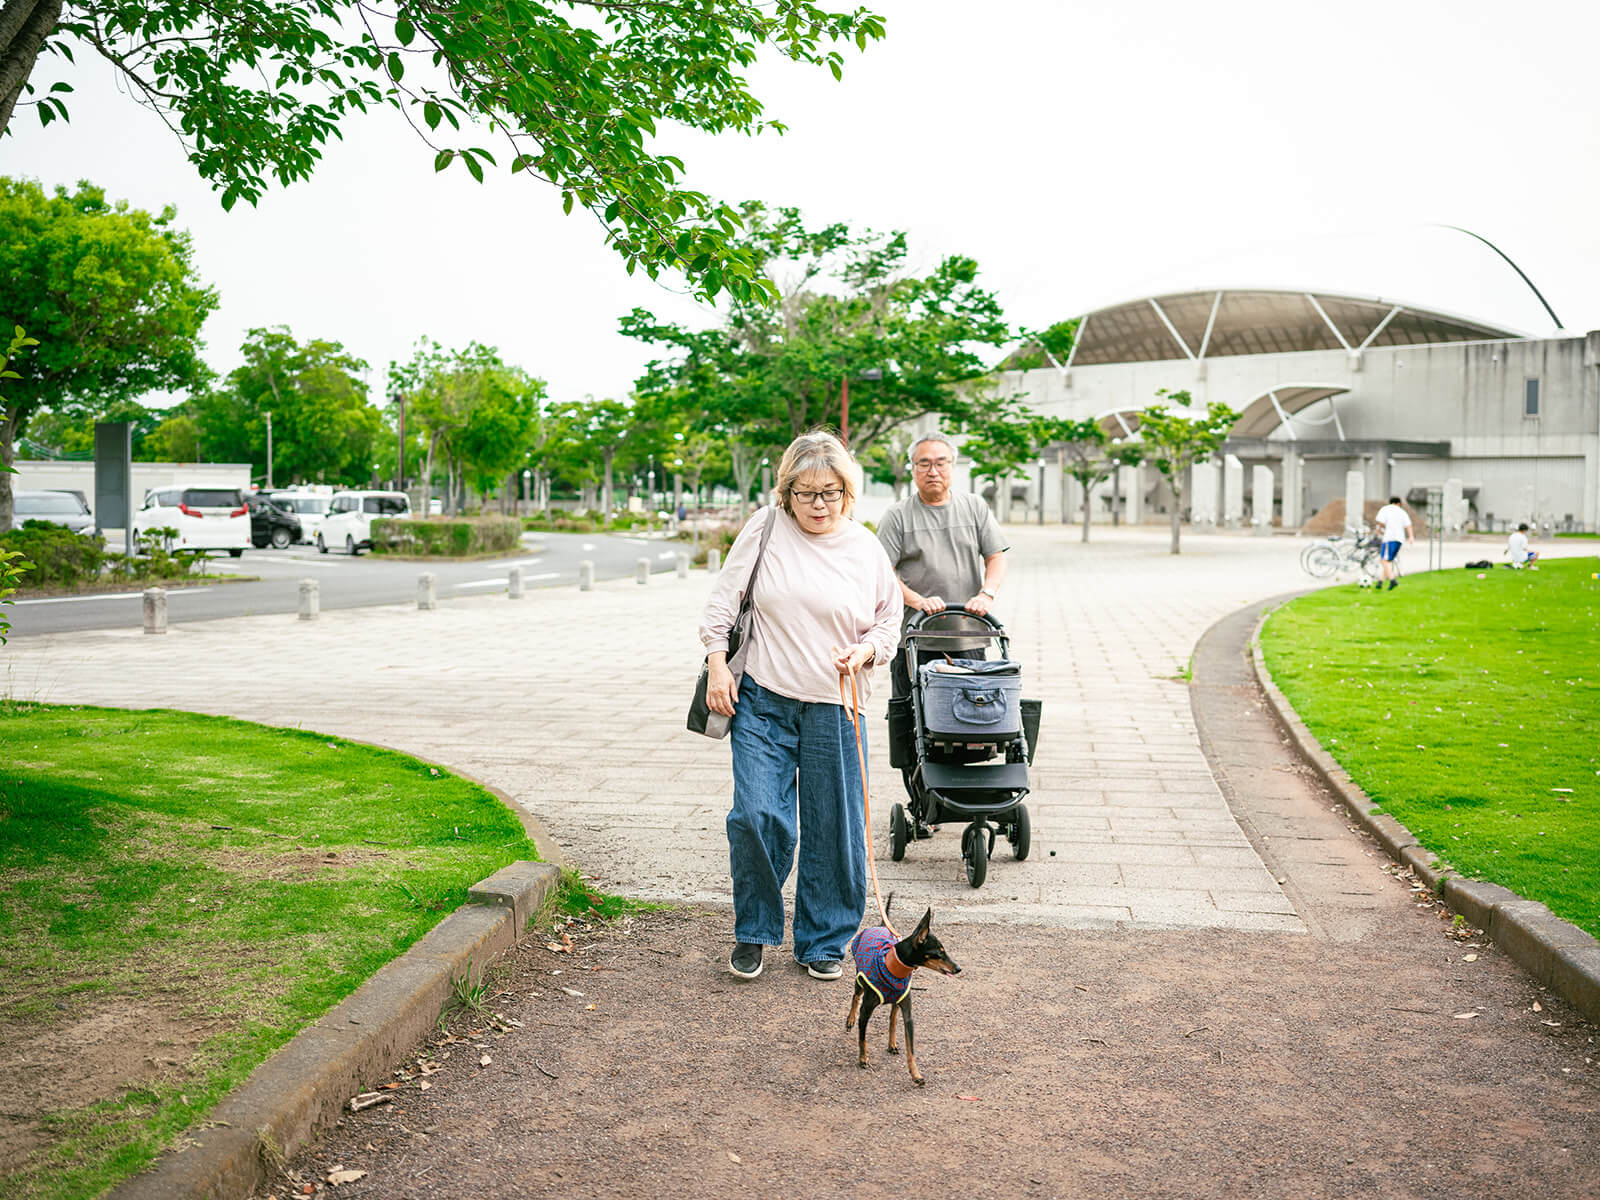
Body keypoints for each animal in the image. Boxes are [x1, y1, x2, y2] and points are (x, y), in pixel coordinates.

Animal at [851, 902, 960, 1088]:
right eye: (939, 953)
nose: (958, 968)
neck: (892, 966)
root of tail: (881, 926)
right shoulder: (865, 1011)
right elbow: (862, 1037)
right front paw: (863, 1058)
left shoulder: (908, 1015)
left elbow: (911, 1049)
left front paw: (915, 1074)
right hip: (859, 979)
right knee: (855, 996)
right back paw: (850, 1020)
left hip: (897, 1000)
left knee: (893, 1018)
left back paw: (892, 1043)